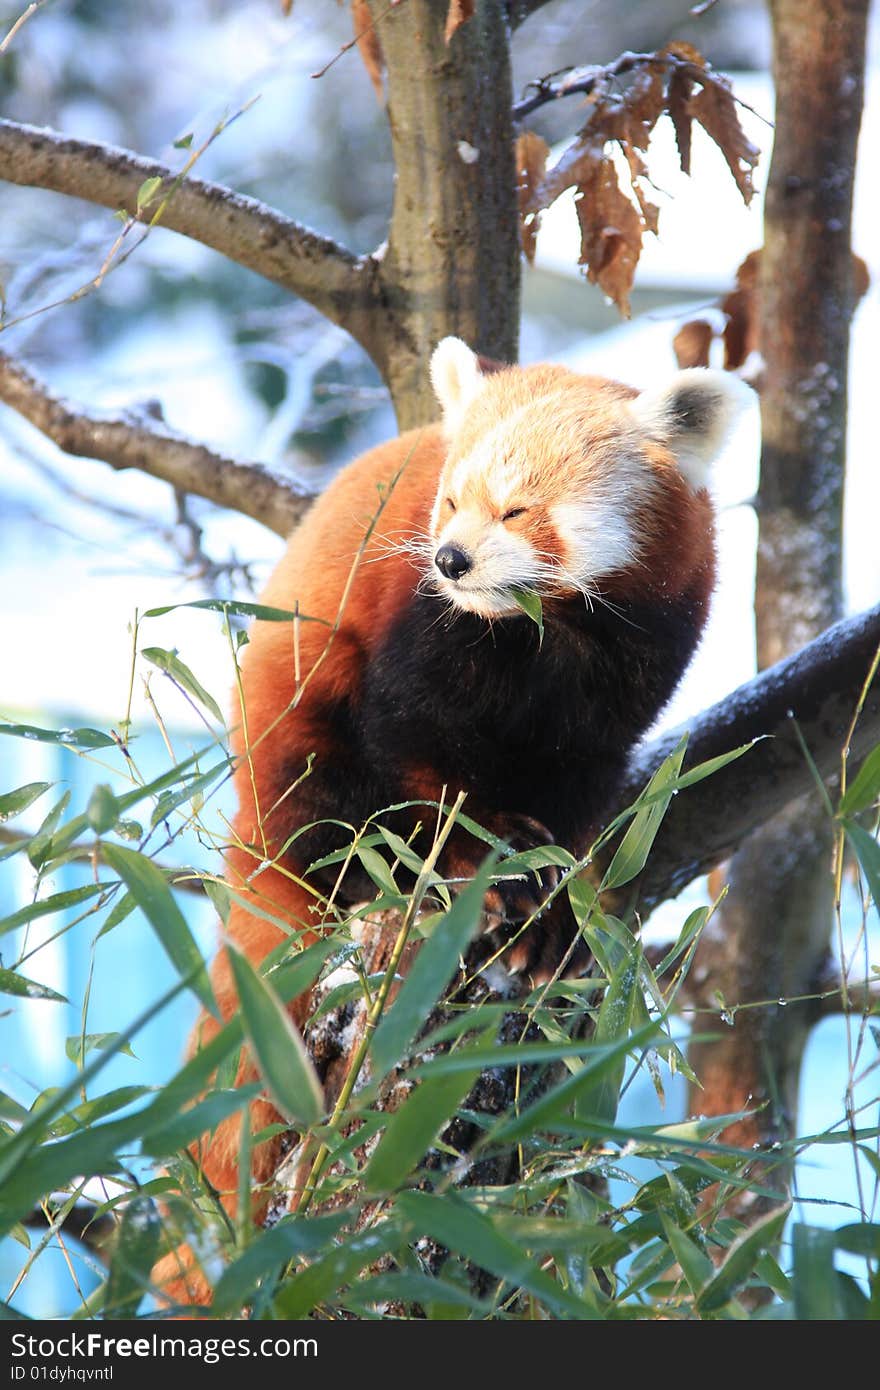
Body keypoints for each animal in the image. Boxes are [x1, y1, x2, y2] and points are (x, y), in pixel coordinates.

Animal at [154, 336, 745, 1301]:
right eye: (451, 500)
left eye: (518, 508)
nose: (453, 561)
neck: (549, 632)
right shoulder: (416, 627)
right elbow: (416, 751)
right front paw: (484, 864)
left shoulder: (632, 670)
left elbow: (580, 794)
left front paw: (561, 905)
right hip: (294, 712)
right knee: (325, 804)